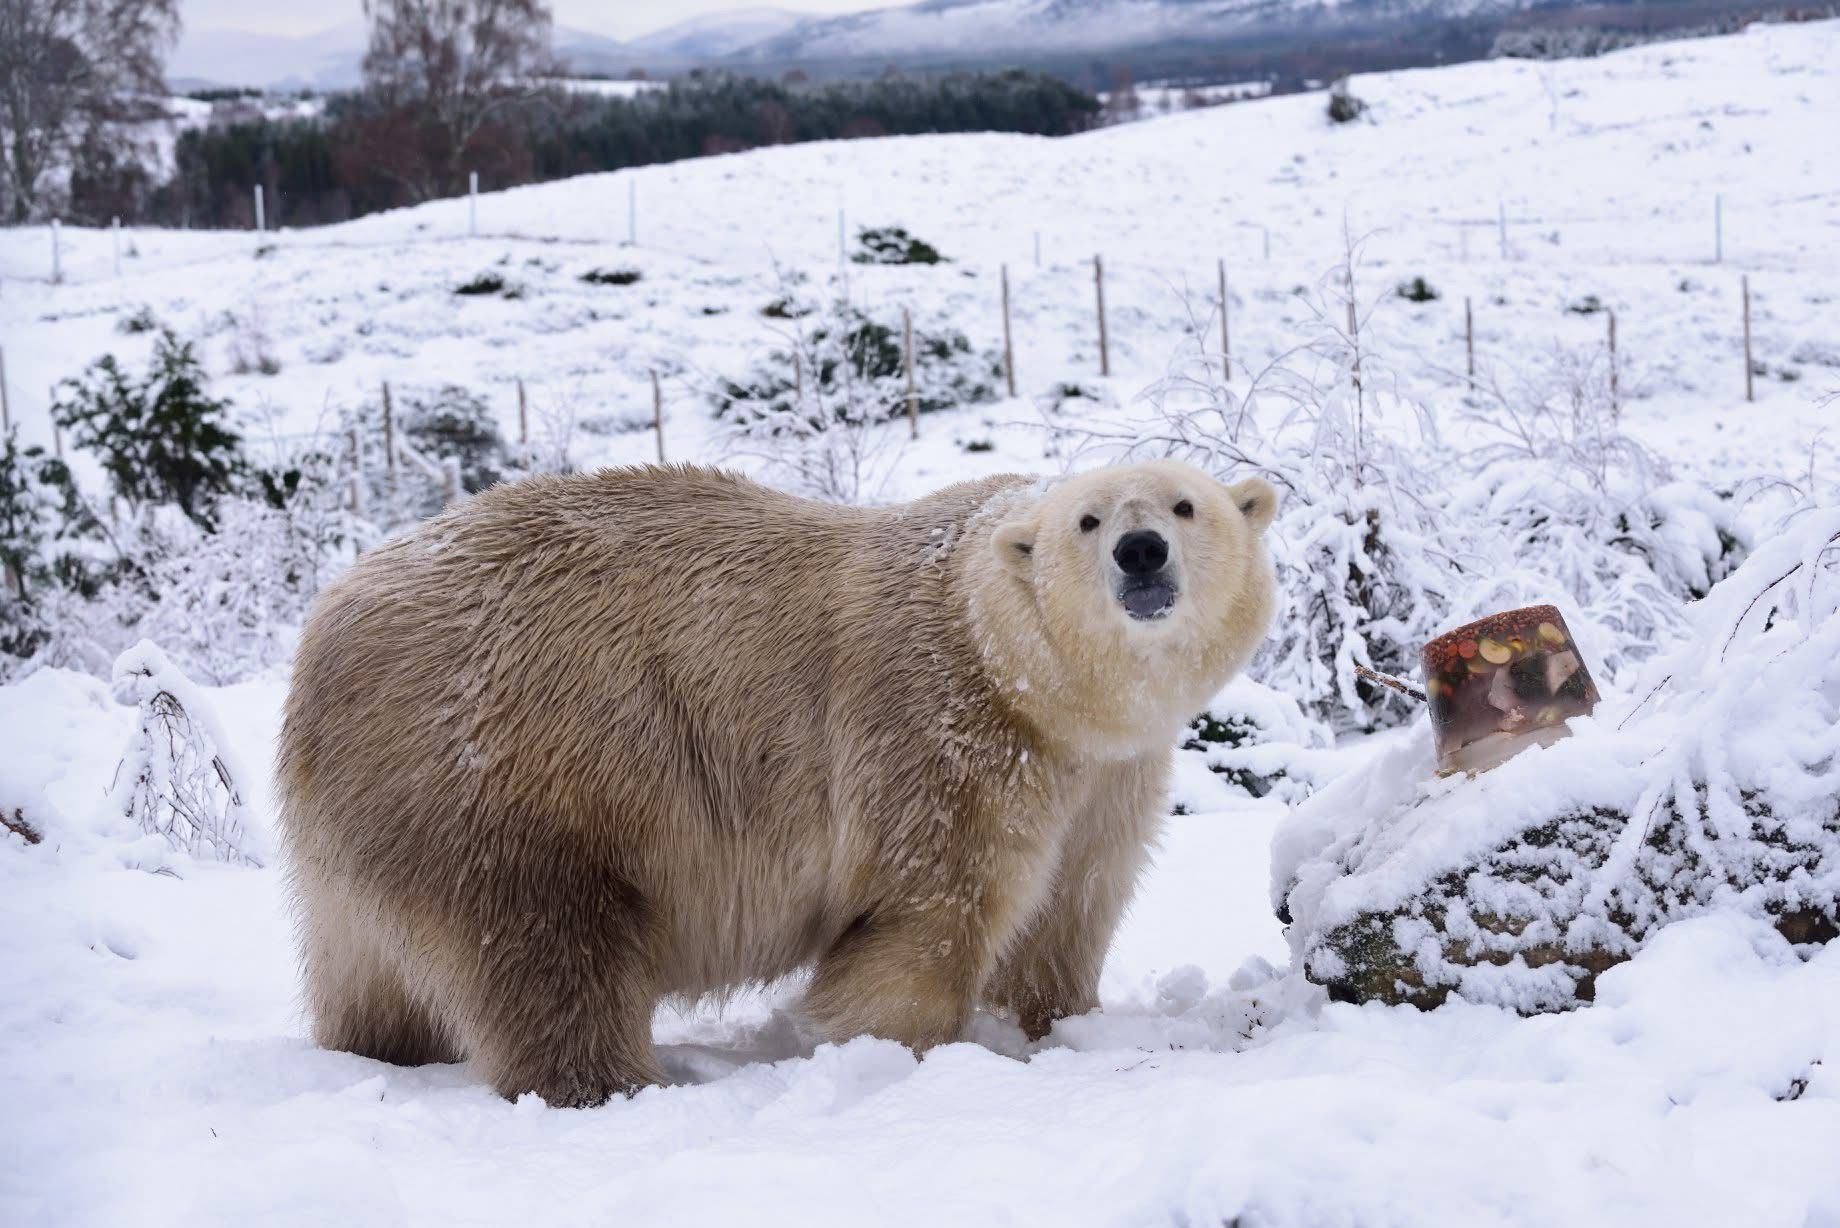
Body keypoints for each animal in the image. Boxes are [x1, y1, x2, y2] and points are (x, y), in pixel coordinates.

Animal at [276, 459, 1277, 1106]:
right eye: (1087, 520)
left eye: (1187, 505)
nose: (1141, 551)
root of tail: (324, 634)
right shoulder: (940, 733)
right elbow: (928, 915)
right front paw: (899, 1051)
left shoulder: (1109, 774)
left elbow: (1073, 905)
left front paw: (1061, 1022)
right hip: (517, 772)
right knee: (548, 947)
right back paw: (610, 1085)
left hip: (375, 816)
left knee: (369, 970)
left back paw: (383, 1051)